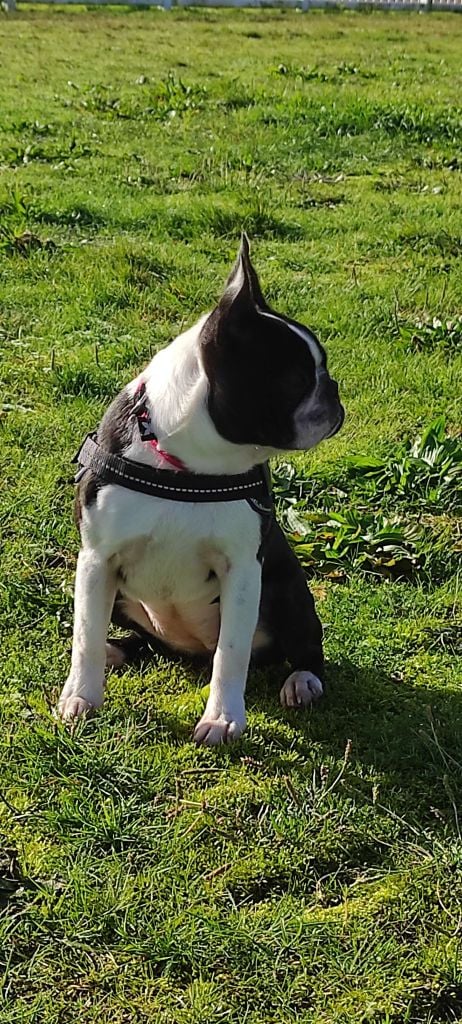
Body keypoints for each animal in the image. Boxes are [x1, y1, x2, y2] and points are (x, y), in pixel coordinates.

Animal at [58, 236, 344, 745]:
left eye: (320, 372)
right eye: (298, 379)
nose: (334, 390)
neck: (190, 462)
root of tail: (190, 650)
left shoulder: (243, 569)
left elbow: (231, 653)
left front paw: (223, 719)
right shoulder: (96, 560)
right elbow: (84, 635)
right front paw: (81, 697)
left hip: (287, 588)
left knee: (304, 647)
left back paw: (303, 681)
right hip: (120, 598)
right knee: (142, 642)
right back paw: (117, 651)